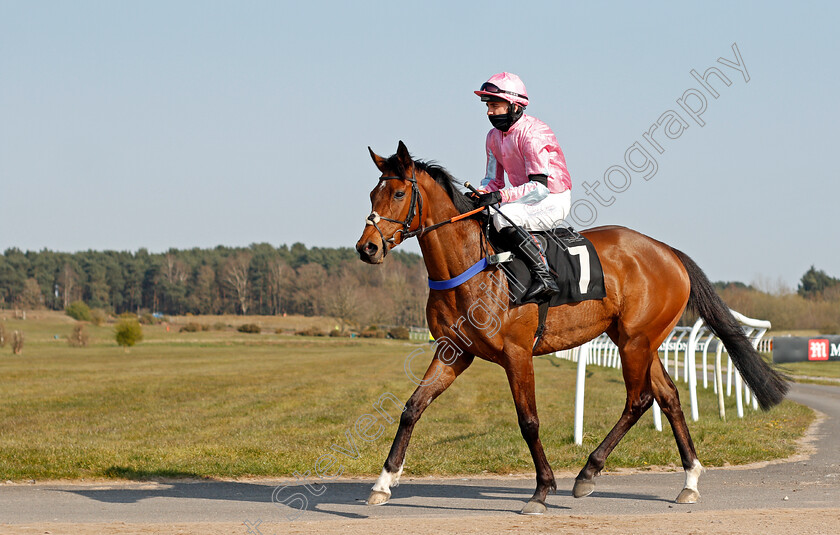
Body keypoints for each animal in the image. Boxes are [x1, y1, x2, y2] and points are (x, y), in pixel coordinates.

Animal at [352, 141, 788, 516]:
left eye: (397, 194)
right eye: (372, 195)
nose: (366, 247)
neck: (473, 268)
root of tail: (668, 251)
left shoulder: (517, 353)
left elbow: (528, 422)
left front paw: (542, 490)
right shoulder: (453, 352)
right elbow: (412, 408)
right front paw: (383, 482)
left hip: (636, 340)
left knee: (639, 400)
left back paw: (588, 472)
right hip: (637, 339)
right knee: (668, 396)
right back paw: (689, 480)